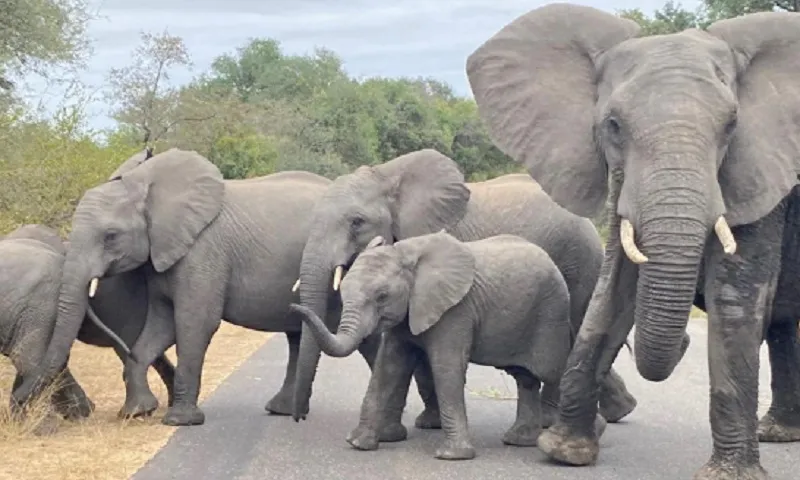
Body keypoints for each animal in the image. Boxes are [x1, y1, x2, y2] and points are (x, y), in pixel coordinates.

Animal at [12, 148, 348, 426]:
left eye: (110, 236)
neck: (149, 190)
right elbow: (161, 325)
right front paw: (136, 413)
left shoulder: (203, 249)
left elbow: (194, 321)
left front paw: (180, 421)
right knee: (297, 335)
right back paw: (282, 411)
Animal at [292, 232, 608, 462]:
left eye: (382, 296)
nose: (294, 308)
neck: (407, 253)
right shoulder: (407, 314)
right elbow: (387, 367)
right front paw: (358, 443)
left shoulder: (456, 310)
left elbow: (446, 369)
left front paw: (452, 456)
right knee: (525, 378)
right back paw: (519, 440)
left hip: (552, 313)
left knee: (553, 371)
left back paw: (584, 437)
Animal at [462, 1, 800, 478]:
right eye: (614, 125)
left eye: (733, 125)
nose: (683, 343)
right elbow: (613, 295)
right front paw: (565, 452)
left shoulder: (762, 171)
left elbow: (734, 304)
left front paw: (728, 475)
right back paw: (778, 433)